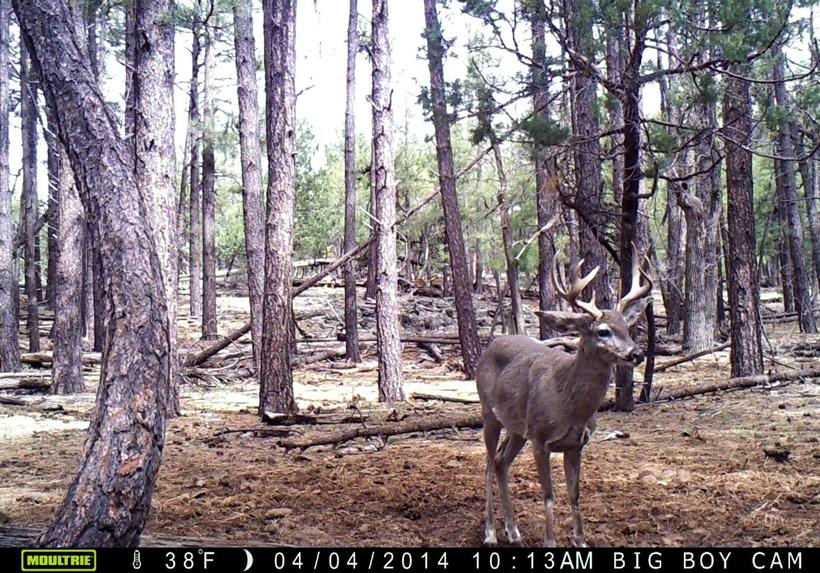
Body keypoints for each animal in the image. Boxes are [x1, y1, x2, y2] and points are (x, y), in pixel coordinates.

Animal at [476, 248, 652, 547]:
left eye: (628, 328)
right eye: (603, 331)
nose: (636, 354)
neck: (568, 403)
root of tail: (492, 344)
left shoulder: (576, 445)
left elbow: (574, 494)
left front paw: (580, 541)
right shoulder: (539, 440)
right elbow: (549, 495)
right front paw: (550, 543)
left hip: (517, 429)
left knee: (500, 462)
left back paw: (513, 532)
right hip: (490, 414)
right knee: (488, 464)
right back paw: (490, 533)